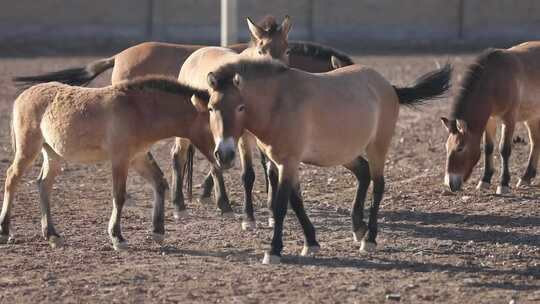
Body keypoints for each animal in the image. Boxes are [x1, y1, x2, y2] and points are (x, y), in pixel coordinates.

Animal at [0, 75, 216, 249]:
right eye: (213, 125)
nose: (221, 155)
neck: (138, 110)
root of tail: (23, 95)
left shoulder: (138, 157)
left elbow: (159, 183)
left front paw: (158, 232)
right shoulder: (120, 159)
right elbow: (119, 196)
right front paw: (117, 238)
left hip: (53, 154)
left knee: (43, 184)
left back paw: (52, 235)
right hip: (27, 150)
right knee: (12, 179)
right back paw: (5, 231)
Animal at [11, 15, 354, 218]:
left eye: (285, 49)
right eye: (262, 48)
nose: (277, 70)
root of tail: (119, 55)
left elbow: (266, 167)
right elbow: (242, 170)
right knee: (180, 156)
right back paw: (191, 201)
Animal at [190, 59, 452, 264]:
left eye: (240, 107)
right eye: (211, 108)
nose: (224, 154)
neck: (279, 102)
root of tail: (387, 85)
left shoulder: (288, 162)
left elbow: (282, 205)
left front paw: (274, 251)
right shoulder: (282, 163)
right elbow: (296, 202)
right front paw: (311, 242)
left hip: (378, 146)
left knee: (378, 185)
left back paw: (369, 239)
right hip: (346, 153)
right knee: (363, 173)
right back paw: (358, 228)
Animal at [440, 41, 540, 192]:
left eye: (460, 148)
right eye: (447, 147)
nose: (450, 184)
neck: (494, 80)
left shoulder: (509, 119)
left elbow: (504, 149)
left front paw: (503, 184)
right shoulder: (490, 120)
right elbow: (488, 147)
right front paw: (485, 180)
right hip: (532, 117)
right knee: (535, 142)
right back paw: (526, 177)